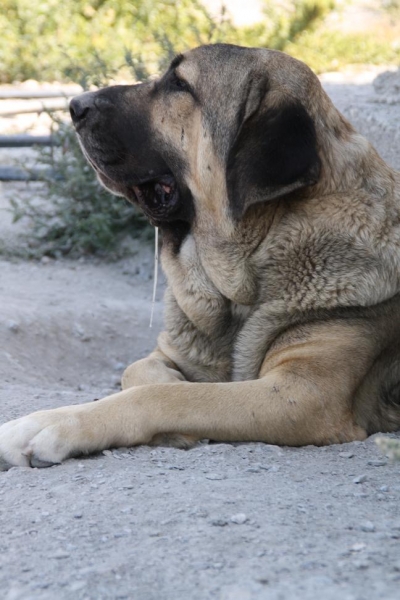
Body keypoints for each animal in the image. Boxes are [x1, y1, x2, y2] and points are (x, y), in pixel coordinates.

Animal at [0, 44, 400, 472]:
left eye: (179, 84)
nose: (75, 105)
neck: (240, 281)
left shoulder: (305, 393)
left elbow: (162, 396)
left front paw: (53, 424)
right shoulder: (175, 351)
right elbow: (138, 370)